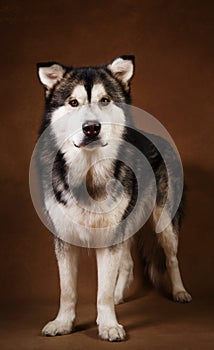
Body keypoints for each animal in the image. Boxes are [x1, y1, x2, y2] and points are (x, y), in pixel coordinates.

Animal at [35, 55, 192, 342]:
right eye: (73, 102)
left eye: (105, 100)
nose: (91, 128)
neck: (88, 172)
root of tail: (161, 138)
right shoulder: (65, 238)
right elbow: (67, 290)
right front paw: (63, 323)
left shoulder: (110, 237)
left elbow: (102, 292)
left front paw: (108, 325)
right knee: (127, 263)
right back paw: (121, 295)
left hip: (164, 223)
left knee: (171, 257)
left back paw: (179, 292)